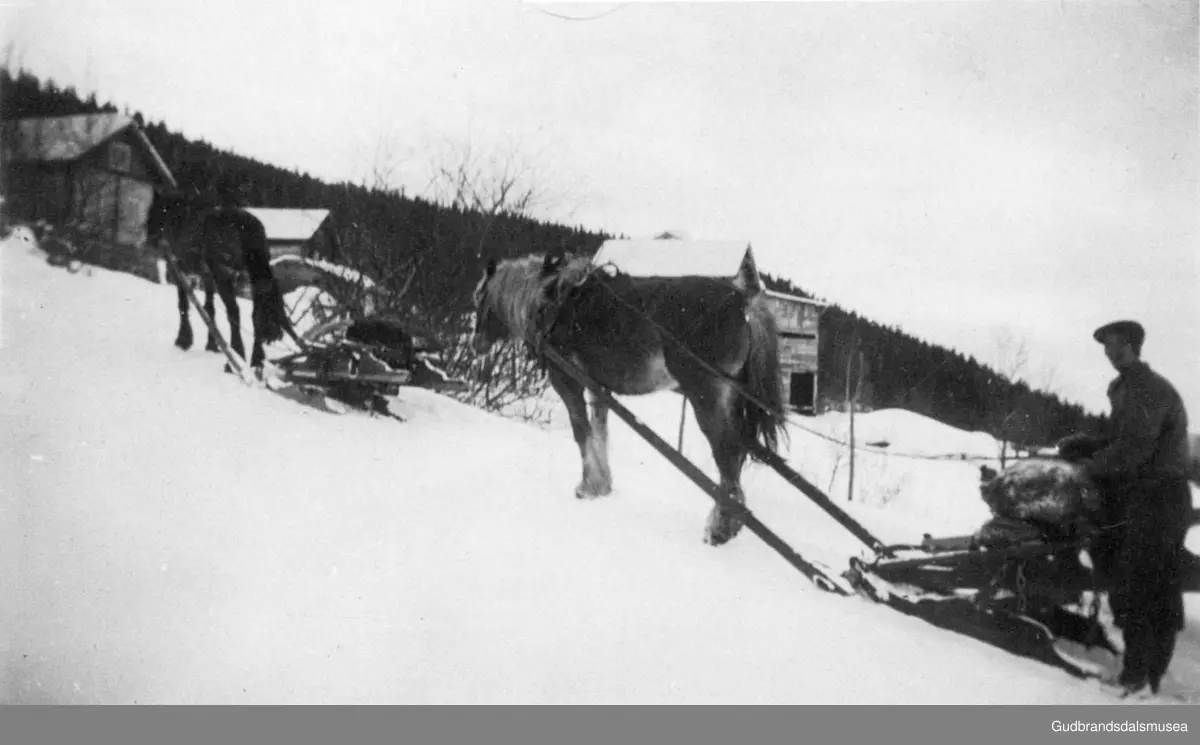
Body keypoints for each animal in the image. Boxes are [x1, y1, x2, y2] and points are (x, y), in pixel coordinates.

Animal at [145, 188, 292, 369]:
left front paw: (183, 340)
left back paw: (236, 357)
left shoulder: (180, 270)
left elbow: (183, 305)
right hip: (250, 277)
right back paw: (256, 359)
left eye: (154, 210)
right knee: (256, 312)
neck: (180, 219)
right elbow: (209, 309)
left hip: (224, 275)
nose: (149, 235)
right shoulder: (207, 277)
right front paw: (211, 345)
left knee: (234, 312)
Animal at [472, 250, 792, 547]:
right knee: (736, 455)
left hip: (706, 395)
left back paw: (722, 528)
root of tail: (744, 302)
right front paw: (602, 484)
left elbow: (581, 430)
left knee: (727, 454)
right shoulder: (599, 387)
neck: (549, 302)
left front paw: (588, 485)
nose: (476, 344)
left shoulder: (567, 380)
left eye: (480, 300)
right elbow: (600, 431)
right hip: (730, 398)